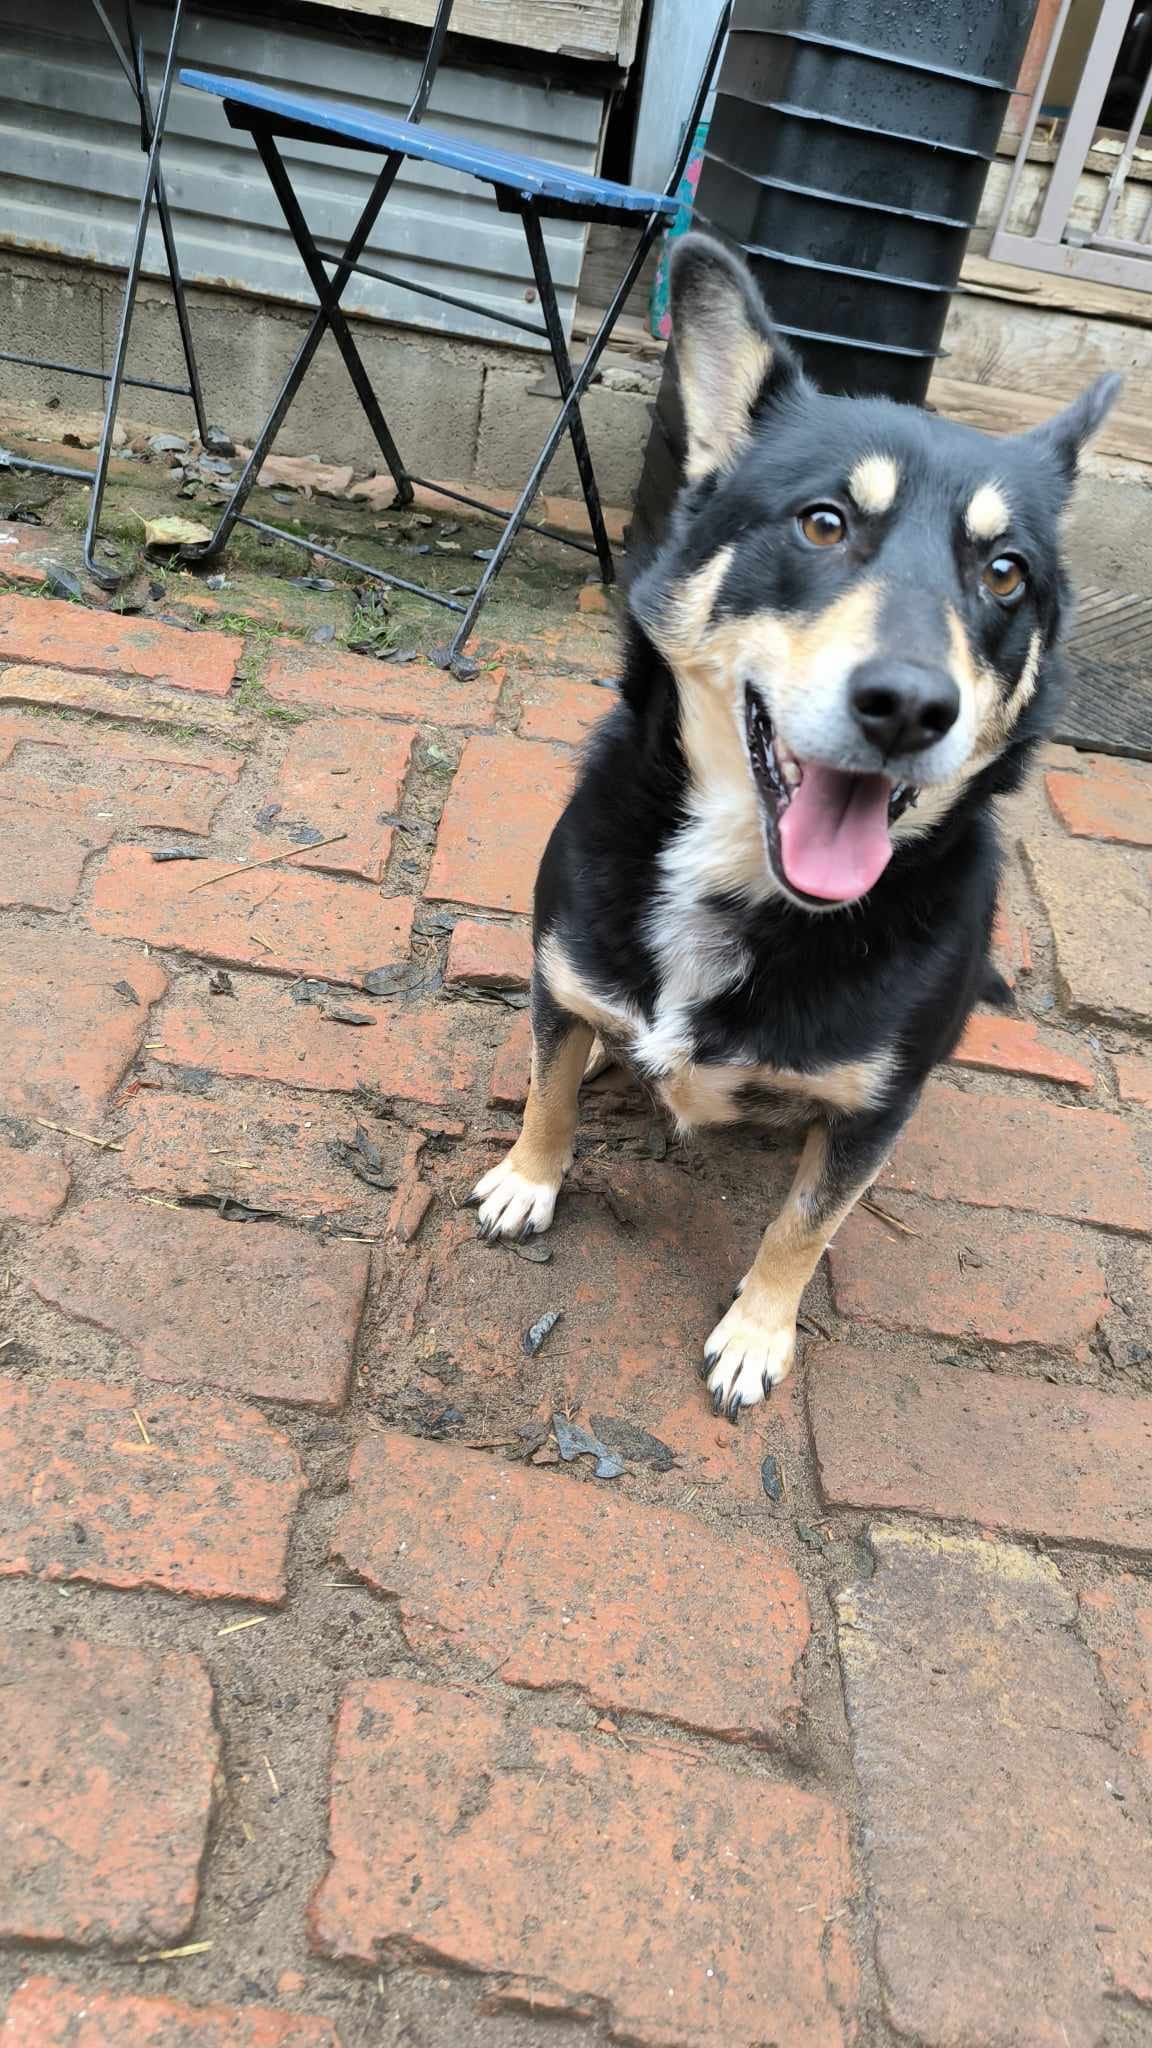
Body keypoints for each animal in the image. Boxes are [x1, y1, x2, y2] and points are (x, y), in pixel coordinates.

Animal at [470, 233, 1118, 1422]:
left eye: (1005, 573)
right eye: (824, 522)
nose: (909, 706)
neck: (743, 886)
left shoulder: (871, 1112)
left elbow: (804, 1226)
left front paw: (756, 1333)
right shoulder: (562, 972)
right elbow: (547, 1089)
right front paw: (529, 1178)